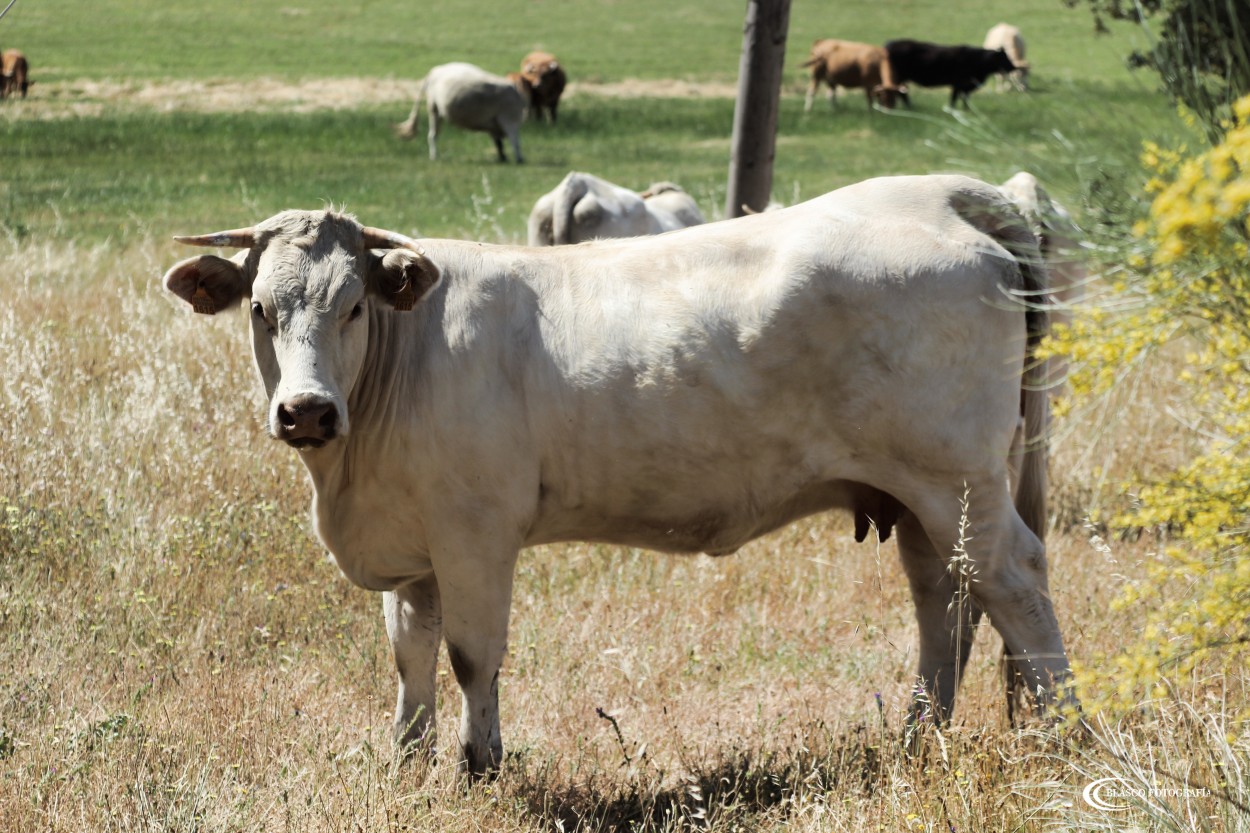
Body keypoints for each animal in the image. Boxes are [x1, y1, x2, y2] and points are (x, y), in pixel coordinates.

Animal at [885, 38, 1020, 106]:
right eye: (1004, 58)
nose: (1014, 66)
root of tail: (889, 44)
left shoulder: (963, 86)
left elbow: (964, 99)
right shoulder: (959, 84)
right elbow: (955, 99)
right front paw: (953, 110)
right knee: (900, 93)